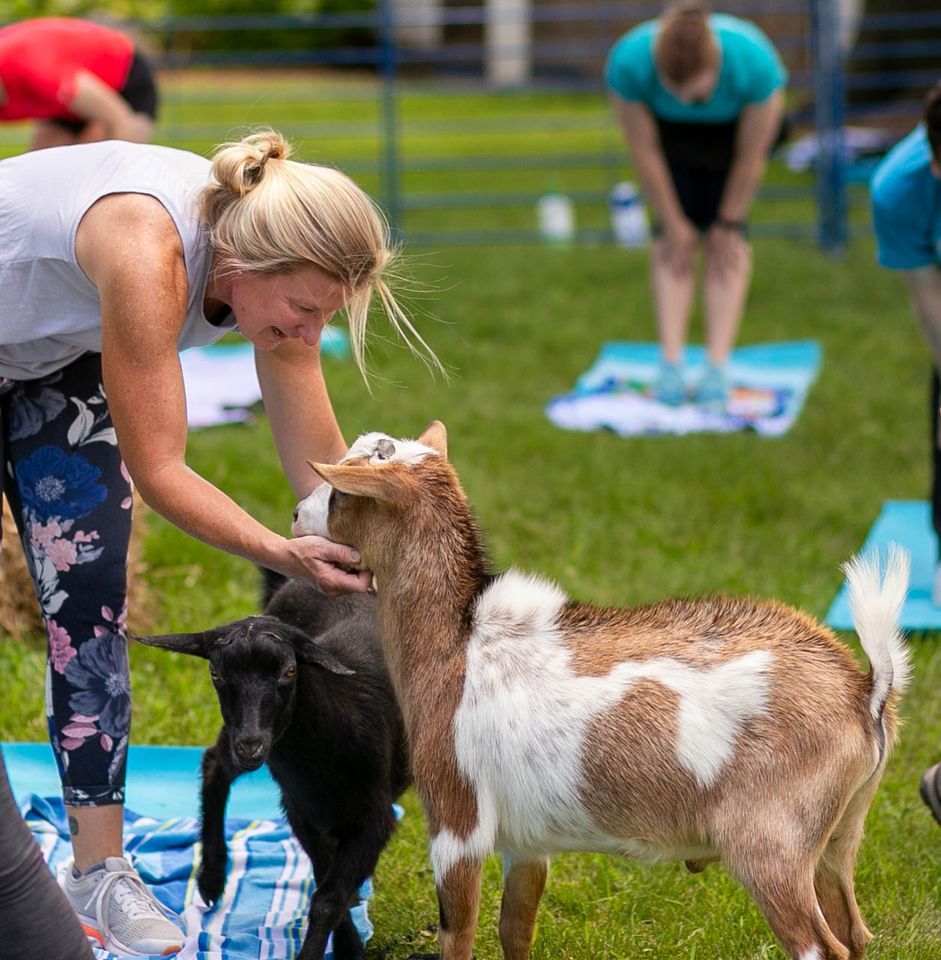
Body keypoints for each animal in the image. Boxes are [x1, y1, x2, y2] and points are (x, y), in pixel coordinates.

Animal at [135, 576, 408, 960]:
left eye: (289, 671)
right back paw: (212, 875)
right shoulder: (300, 810)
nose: (250, 745)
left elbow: (328, 898)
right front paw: (348, 946)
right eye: (215, 672)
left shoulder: (373, 818)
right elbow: (325, 886)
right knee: (214, 762)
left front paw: (342, 946)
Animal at [294, 424, 912, 960]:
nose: (298, 513)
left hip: (771, 848)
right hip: (836, 840)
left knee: (822, 947)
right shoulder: (528, 842)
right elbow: (514, 929)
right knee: (855, 934)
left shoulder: (457, 823)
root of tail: (864, 692)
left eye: (343, 492)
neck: (459, 642)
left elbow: (460, 934)